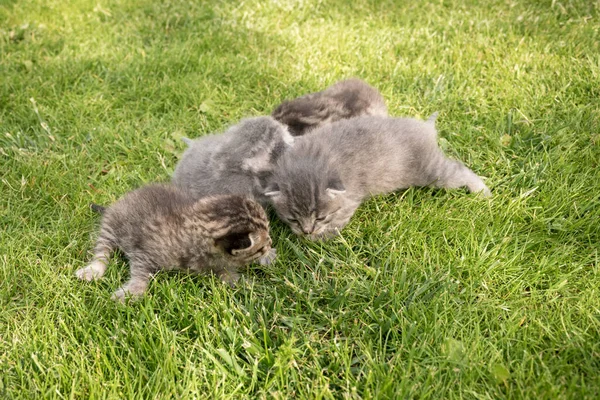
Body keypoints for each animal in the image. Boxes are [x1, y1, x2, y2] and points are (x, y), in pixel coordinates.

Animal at [75, 184, 274, 300]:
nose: (271, 243)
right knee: (103, 249)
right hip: (112, 224)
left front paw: (249, 284)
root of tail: (116, 204)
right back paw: (94, 270)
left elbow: (227, 274)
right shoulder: (144, 251)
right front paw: (133, 291)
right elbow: (141, 274)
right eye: (262, 246)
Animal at [264, 114, 490, 239]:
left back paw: (482, 191)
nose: (306, 231)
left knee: (459, 170)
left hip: (433, 171)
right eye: (292, 218)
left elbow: (336, 224)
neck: (314, 157)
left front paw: (316, 240)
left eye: (321, 217)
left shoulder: (350, 200)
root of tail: (425, 127)